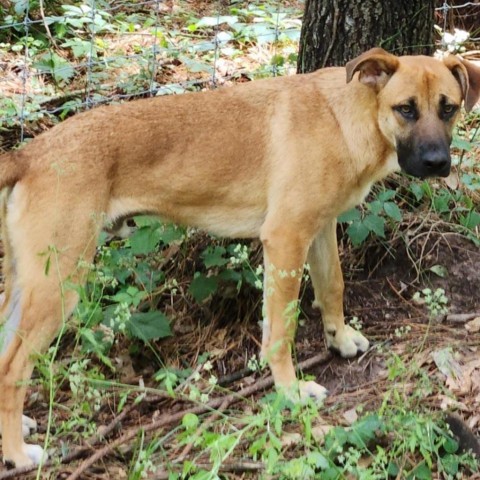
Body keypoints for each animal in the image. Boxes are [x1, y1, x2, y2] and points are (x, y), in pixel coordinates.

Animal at [0, 49, 480, 468]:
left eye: (449, 108)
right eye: (406, 109)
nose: (438, 163)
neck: (346, 117)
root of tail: (29, 154)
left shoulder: (320, 229)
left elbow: (332, 287)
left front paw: (340, 339)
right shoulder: (285, 238)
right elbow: (281, 329)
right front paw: (290, 392)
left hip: (26, 286)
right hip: (59, 284)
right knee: (13, 368)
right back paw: (19, 454)